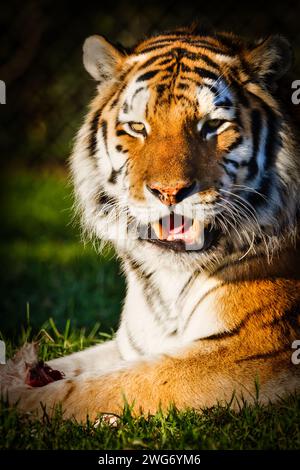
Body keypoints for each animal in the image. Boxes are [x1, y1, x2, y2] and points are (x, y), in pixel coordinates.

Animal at [1, 23, 300, 422]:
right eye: (137, 127)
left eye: (212, 125)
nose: (169, 191)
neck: (164, 284)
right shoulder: (132, 342)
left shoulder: (253, 350)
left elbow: (92, 389)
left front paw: (18, 396)